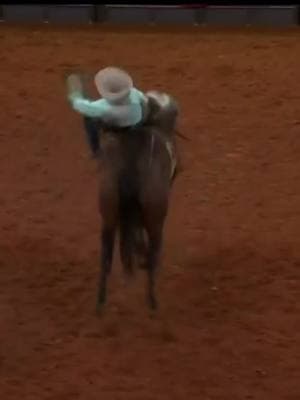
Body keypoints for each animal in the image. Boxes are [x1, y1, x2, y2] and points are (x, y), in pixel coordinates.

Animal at [97, 95, 179, 310]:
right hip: (155, 217)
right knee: (153, 252)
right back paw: (152, 302)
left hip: (109, 214)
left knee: (106, 256)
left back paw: (100, 302)